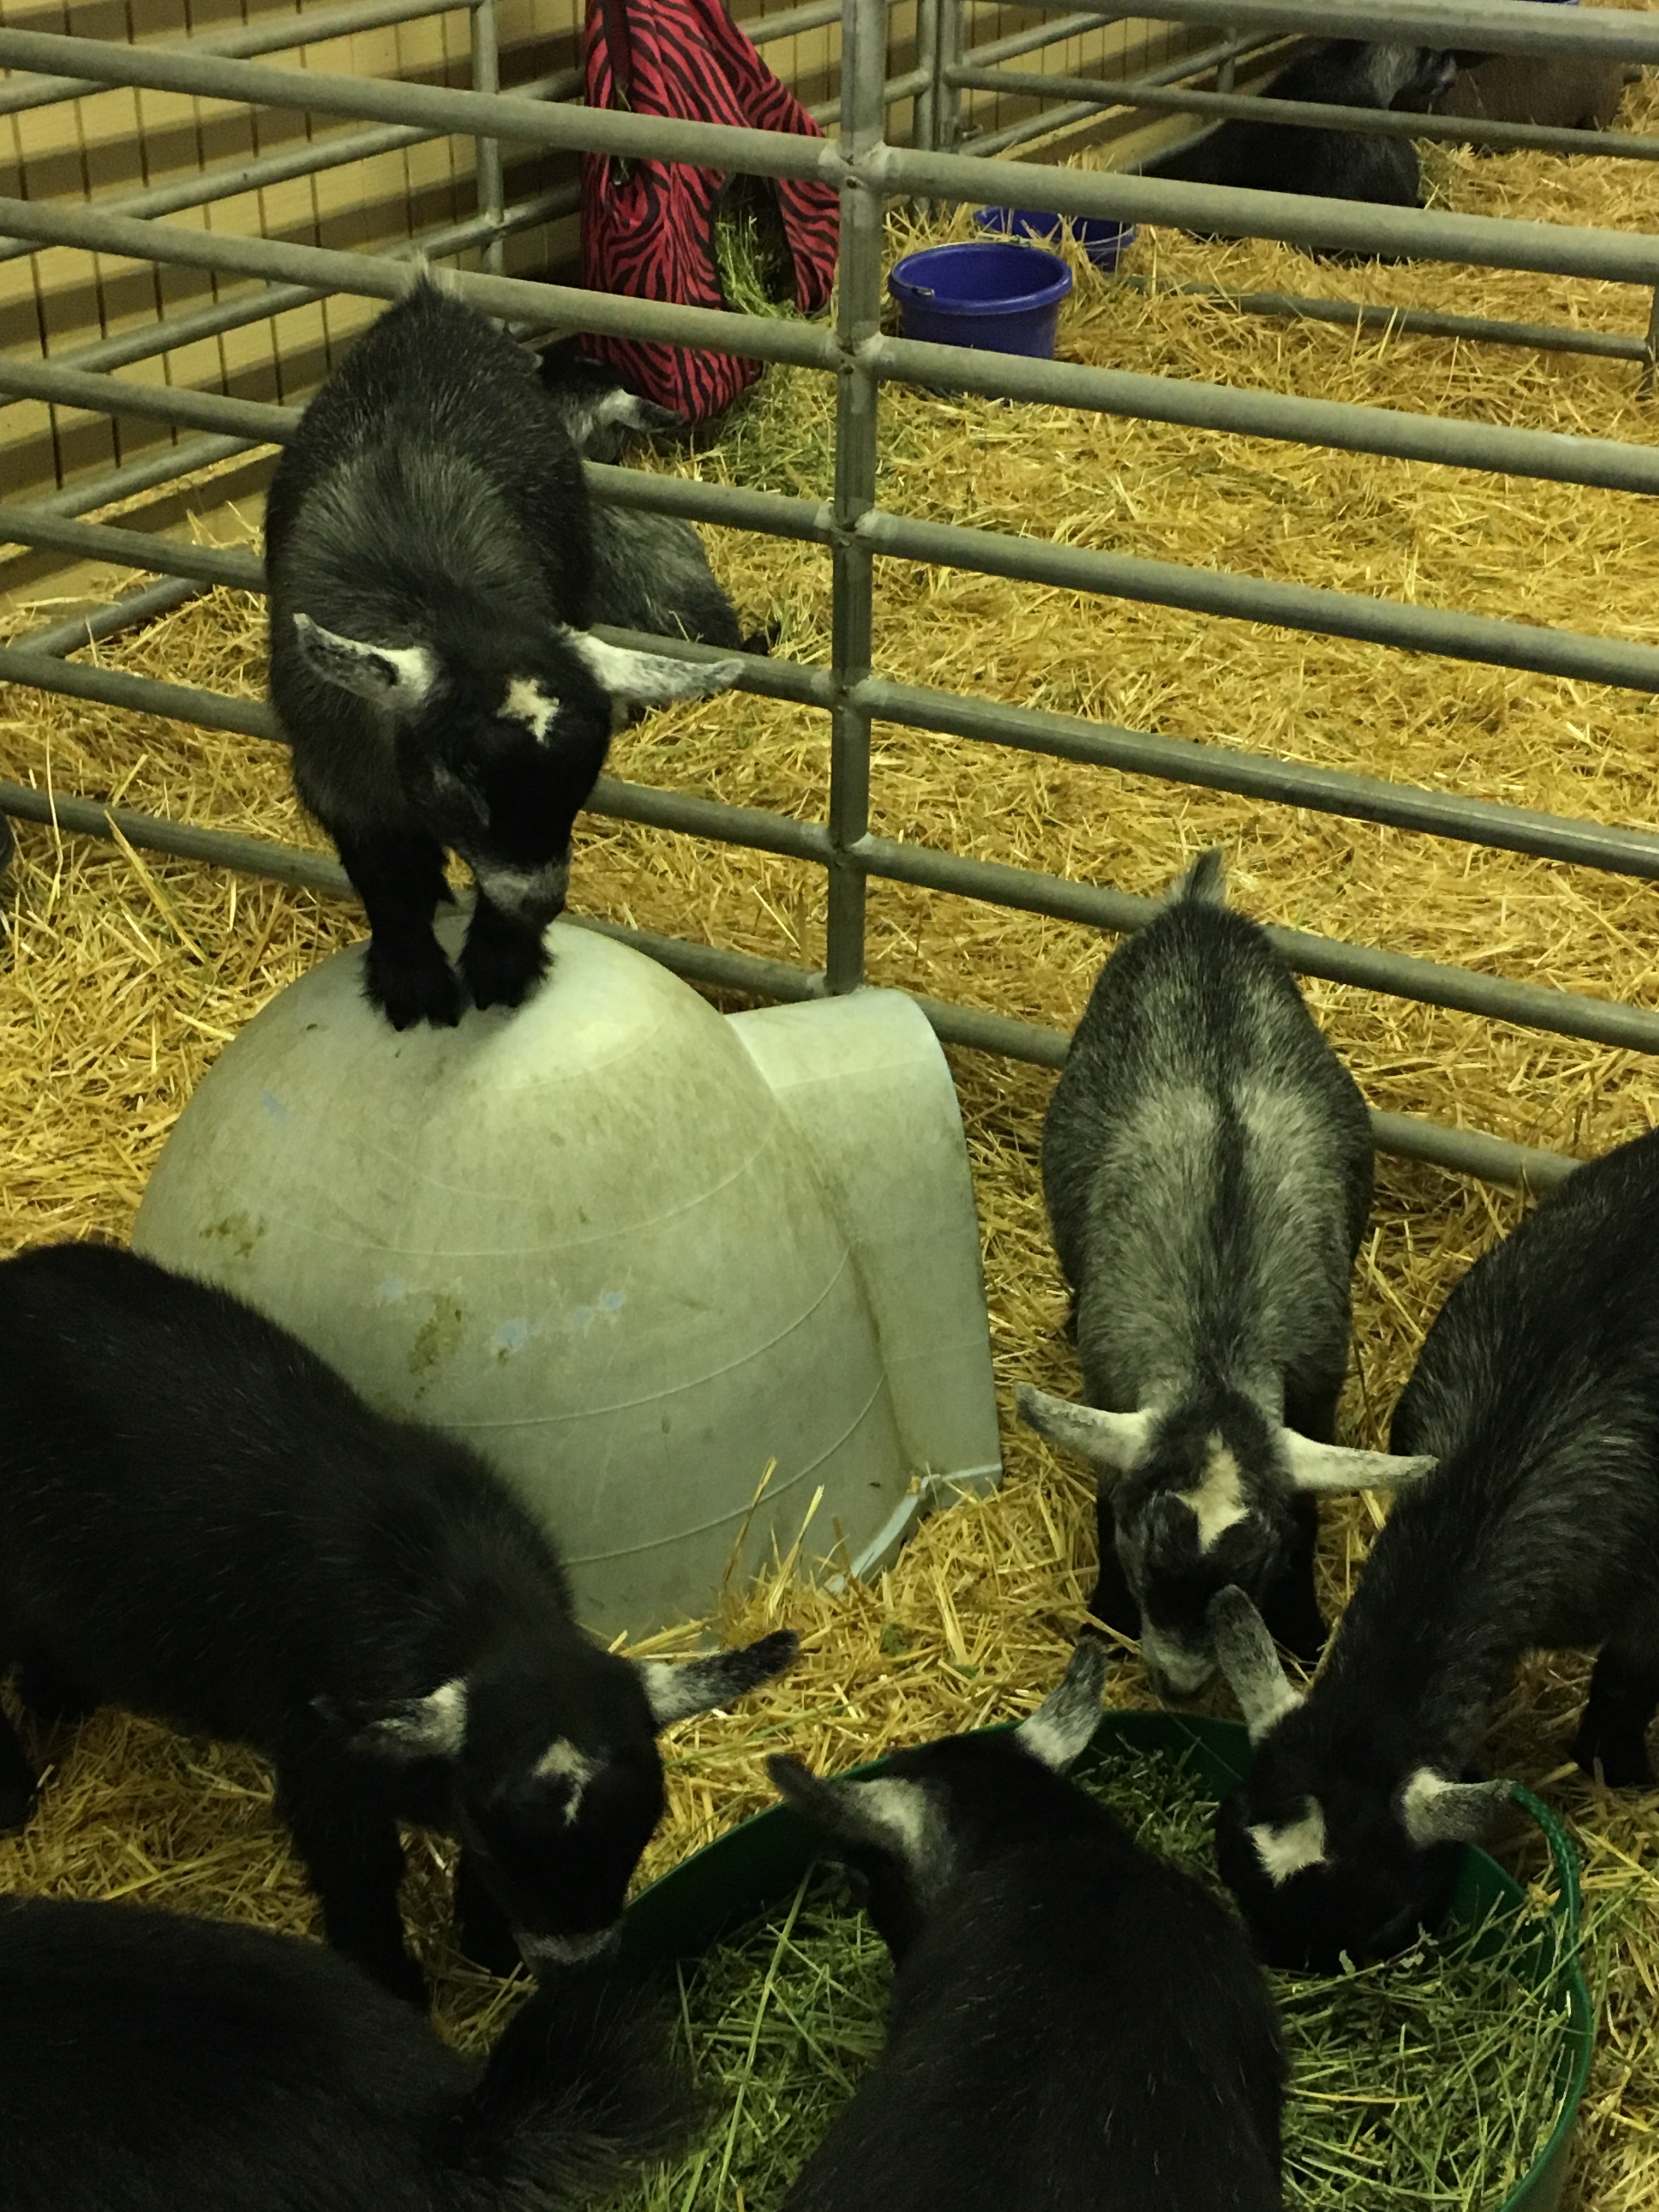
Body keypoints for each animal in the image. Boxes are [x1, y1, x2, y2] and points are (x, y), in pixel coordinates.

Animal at [0, 1241, 796, 2005]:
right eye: (494, 1837)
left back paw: (59, 1698)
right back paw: (14, 1793)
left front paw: (489, 1948)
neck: (471, 1599)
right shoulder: (318, 1759)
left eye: (644, 1828)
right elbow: (360, 1870)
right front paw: (393, 1980)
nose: (575, 1974)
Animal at [264, 279, 742, 1033]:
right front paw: (412, 980)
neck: (436, 597)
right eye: (461, 775)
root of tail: (428, 305)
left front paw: (502, 962)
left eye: (587, 775)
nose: (541, 904)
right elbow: (386, 881)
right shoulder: (341, 782)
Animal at [1019, 850, 1426, 1701]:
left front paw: (1303, 1629)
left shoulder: (1316, 1389)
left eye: (1258, 1569)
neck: (1216, 1350)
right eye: (1139, 1559)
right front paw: (1104, 1615)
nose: (1178, 1686)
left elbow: (1309, 1514)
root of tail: (1199, 912)